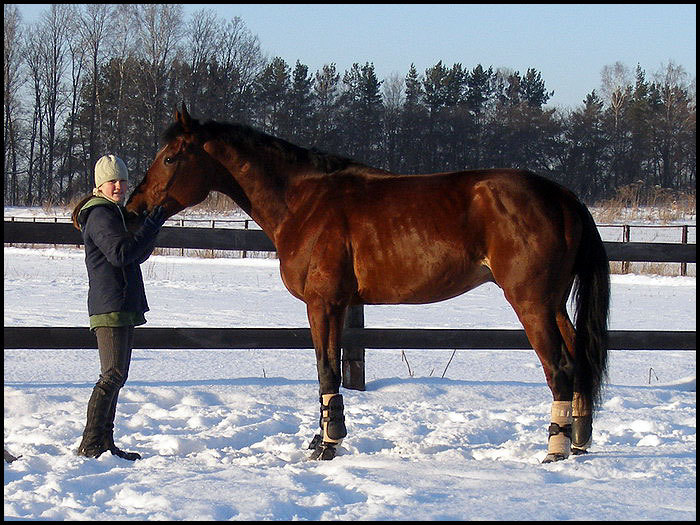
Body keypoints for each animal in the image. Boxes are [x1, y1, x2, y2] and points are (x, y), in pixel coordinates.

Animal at [126, 105, 608, 462]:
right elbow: (331, 367)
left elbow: (326, 368)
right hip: (553, 304)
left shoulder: (322, 303)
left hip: (531, 303)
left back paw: (554, 450)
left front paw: (327, 445)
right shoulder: (340, 305)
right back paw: (579, 442)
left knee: (561, 368)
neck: (303, 202)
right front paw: (325, 438)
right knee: (580, 362)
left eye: (170, 158)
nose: (133, 209)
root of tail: (564, 198)